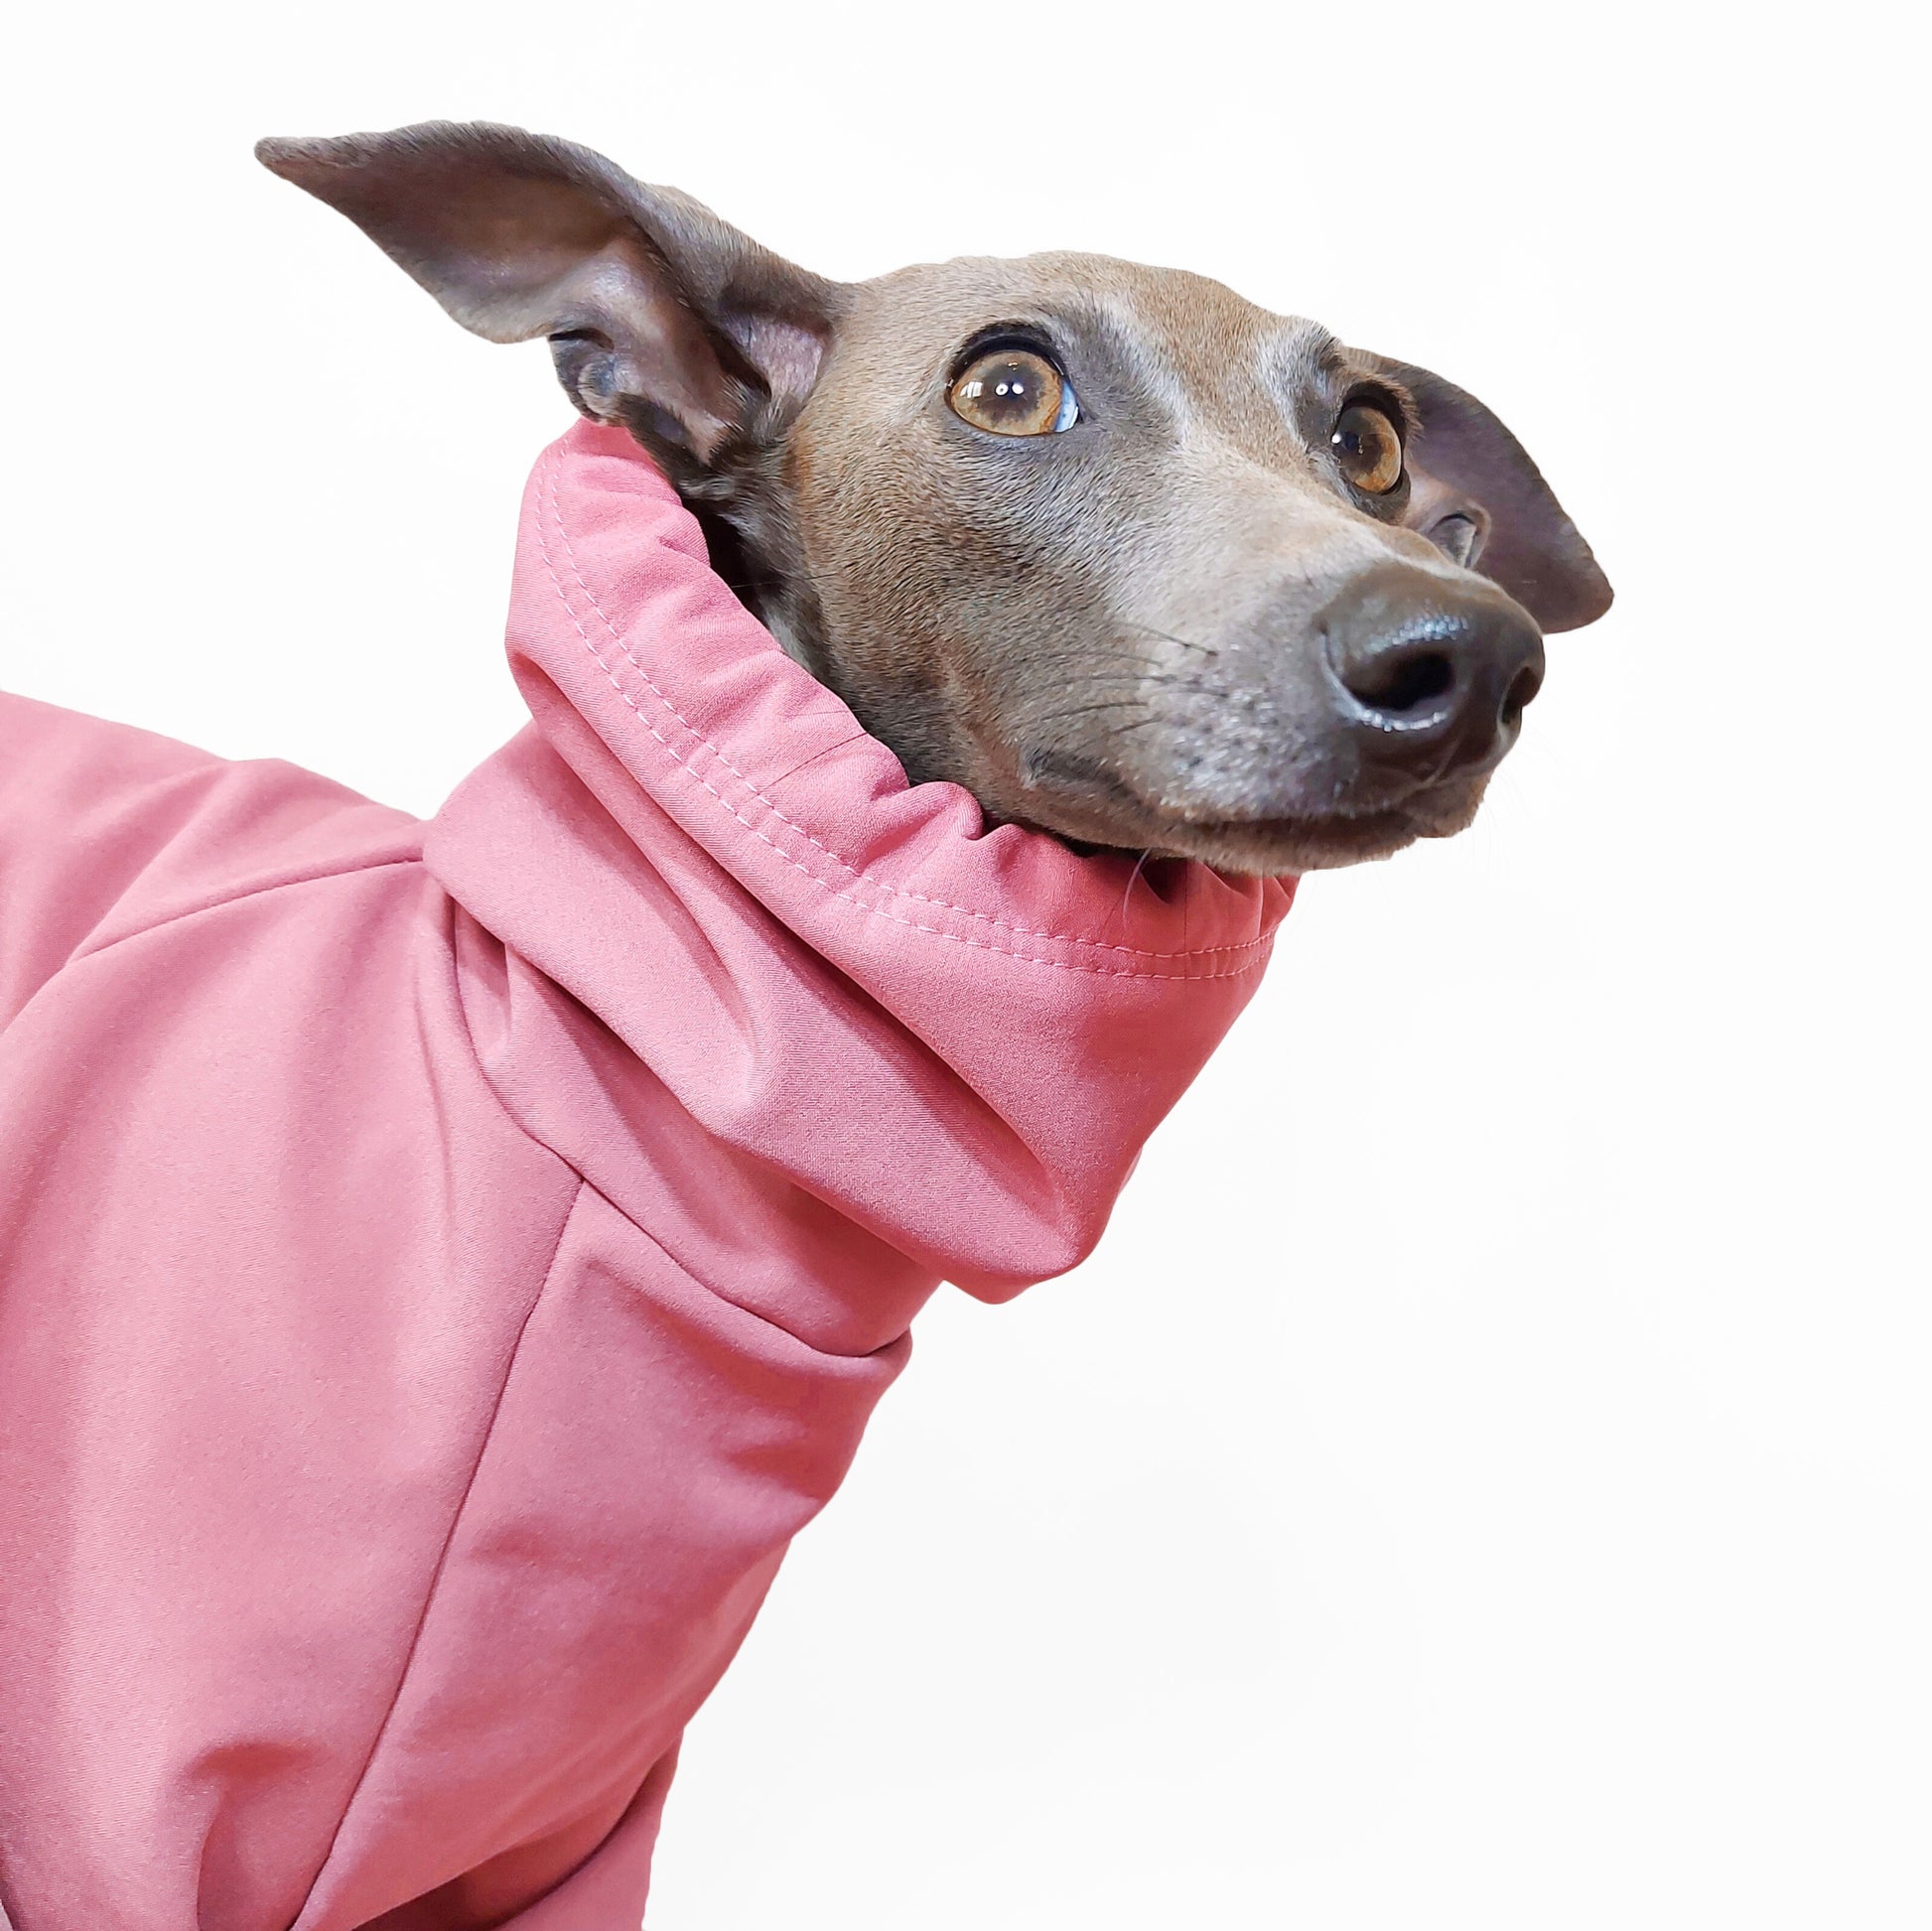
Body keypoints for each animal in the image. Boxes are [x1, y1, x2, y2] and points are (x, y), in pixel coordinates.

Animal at [0, 124, 1607, 1931]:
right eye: (1005, 387)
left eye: (1371, 436)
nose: (1466, 656)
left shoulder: (538, 1860)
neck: (585, 1089)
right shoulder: (117, 1825)